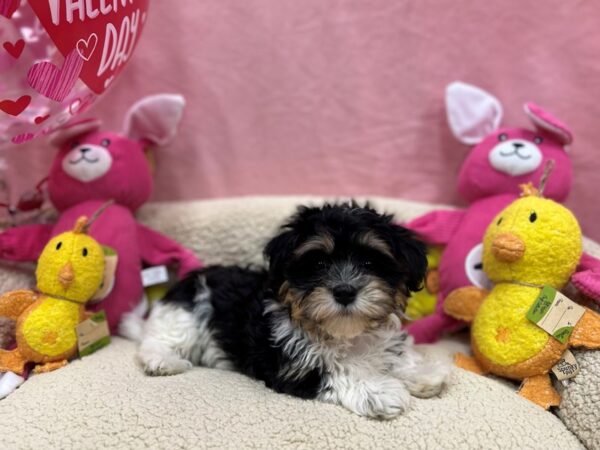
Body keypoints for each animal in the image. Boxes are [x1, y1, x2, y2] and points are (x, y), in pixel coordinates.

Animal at [122, 204, 448, 418]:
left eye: (370, 262)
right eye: (318, 264)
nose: (344, 291)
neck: (341, 333)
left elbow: (394, 352)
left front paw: (423, 372)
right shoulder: (290, 365)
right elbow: (335, 371)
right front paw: (378, 391)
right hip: (187, 315)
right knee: (155, 342)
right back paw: (163, 361)